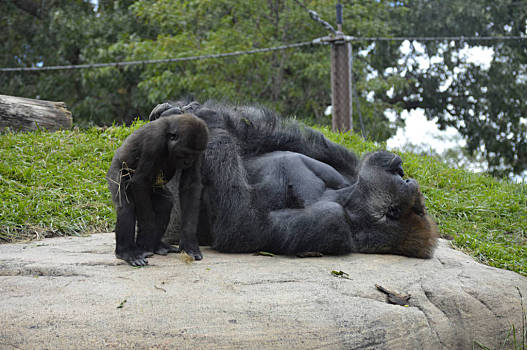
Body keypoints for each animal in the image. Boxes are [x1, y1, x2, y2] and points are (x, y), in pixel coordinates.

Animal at [106, 114, 208, 266]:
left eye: (193, 155)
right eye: (185, 153)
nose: (188, 162)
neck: (168, 135)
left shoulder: (201, 147)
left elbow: (190, 185)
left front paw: (189, 242)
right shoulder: (154, 142)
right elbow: (140, 182)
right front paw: (146, 236)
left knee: (165, 203)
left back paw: (158, 245)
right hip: (116, 171)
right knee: (125, 207)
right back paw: (126, 252)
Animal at [151, 100, 440, 258]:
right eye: (401, 176)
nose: (399, 166)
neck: (348, 199)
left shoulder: (333, 223)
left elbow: (242, 225)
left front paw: (212, 121)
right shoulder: (349, 167)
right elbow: (284, 139)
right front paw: (201, 113)